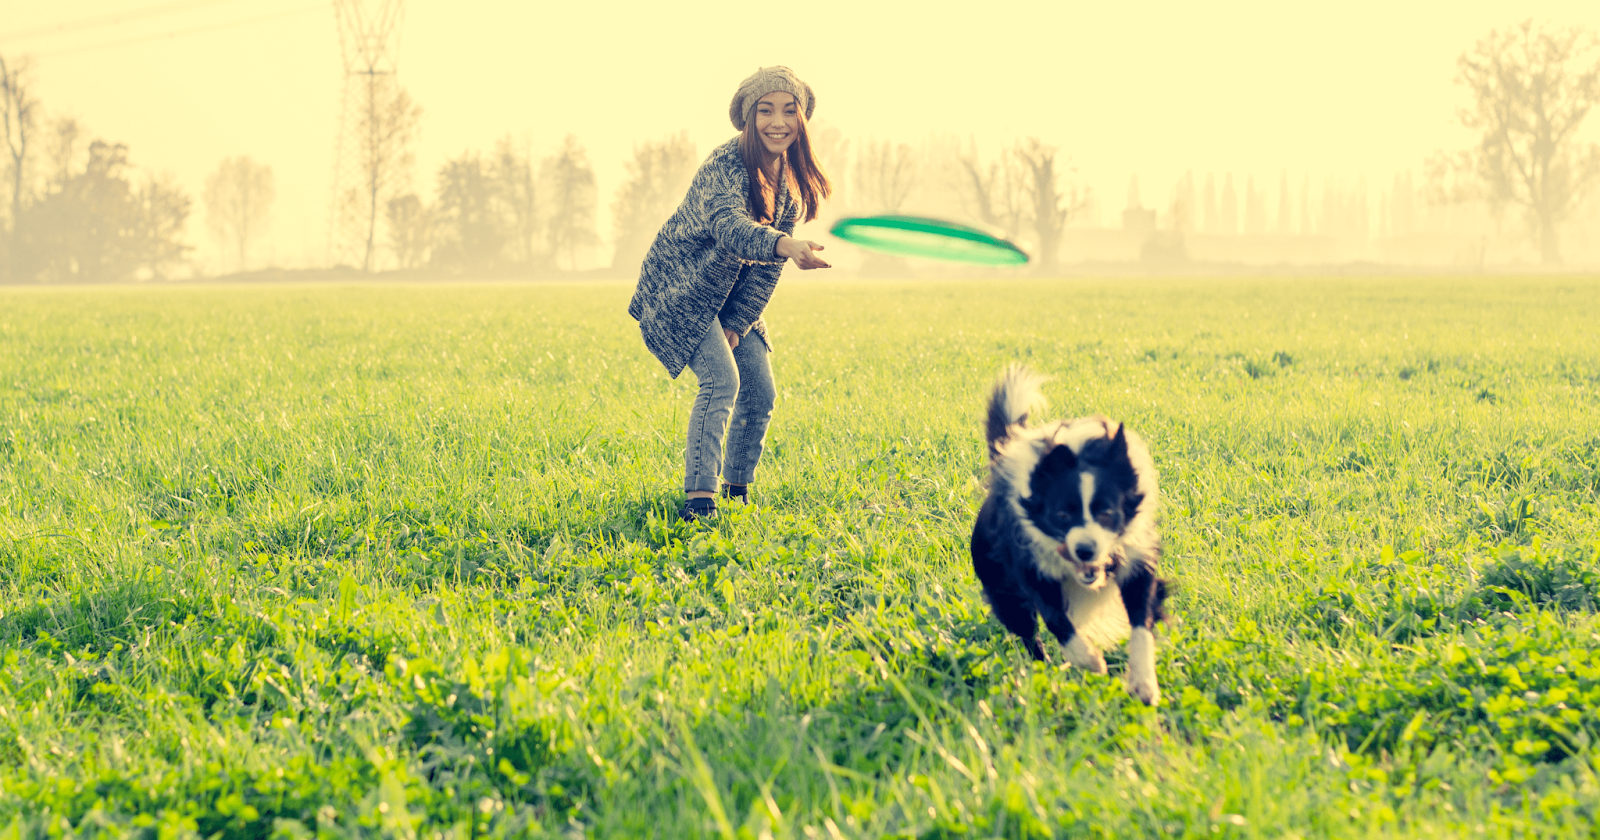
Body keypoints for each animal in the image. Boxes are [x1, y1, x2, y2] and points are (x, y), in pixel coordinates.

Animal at [966, 364, 1171, 700]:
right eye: (1061, 515)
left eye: (1107, 513)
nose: (1085, 551)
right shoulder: (1031, 567)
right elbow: (1056, 620)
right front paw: (1089, 660)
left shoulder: (1136, 560)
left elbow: (1142, 622)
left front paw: (1143, 683)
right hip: (1002, 587)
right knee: (1028, 632)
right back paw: (1045, 671)